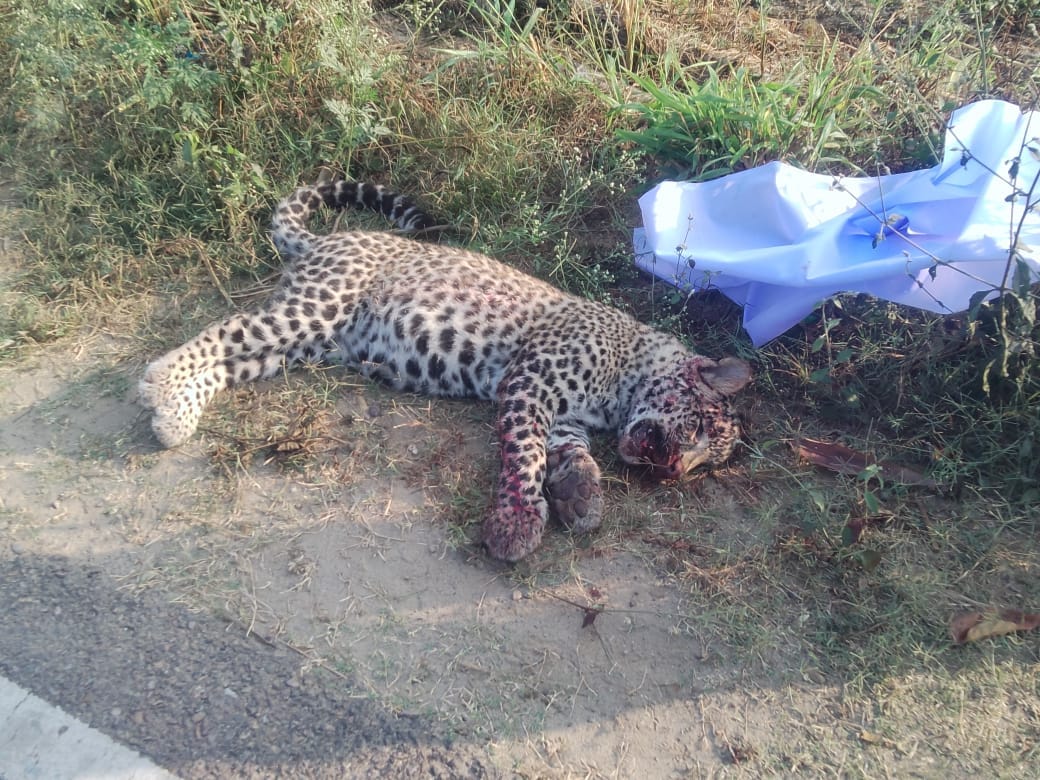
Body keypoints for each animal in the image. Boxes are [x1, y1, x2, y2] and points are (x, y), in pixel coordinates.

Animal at [139, 177, 752, 561]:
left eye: (701, 468)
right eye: (699, 426)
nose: (670, 472)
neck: (625, 378)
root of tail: (334, 237)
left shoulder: (563, 415)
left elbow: (569, 453)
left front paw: (581, 495)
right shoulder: (528, 385)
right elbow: (524, 458)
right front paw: (515, 526)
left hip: (312, 345)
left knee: (230, 361)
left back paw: (176, 416)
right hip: (316, 307)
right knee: (226, 331)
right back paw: (159, 386)